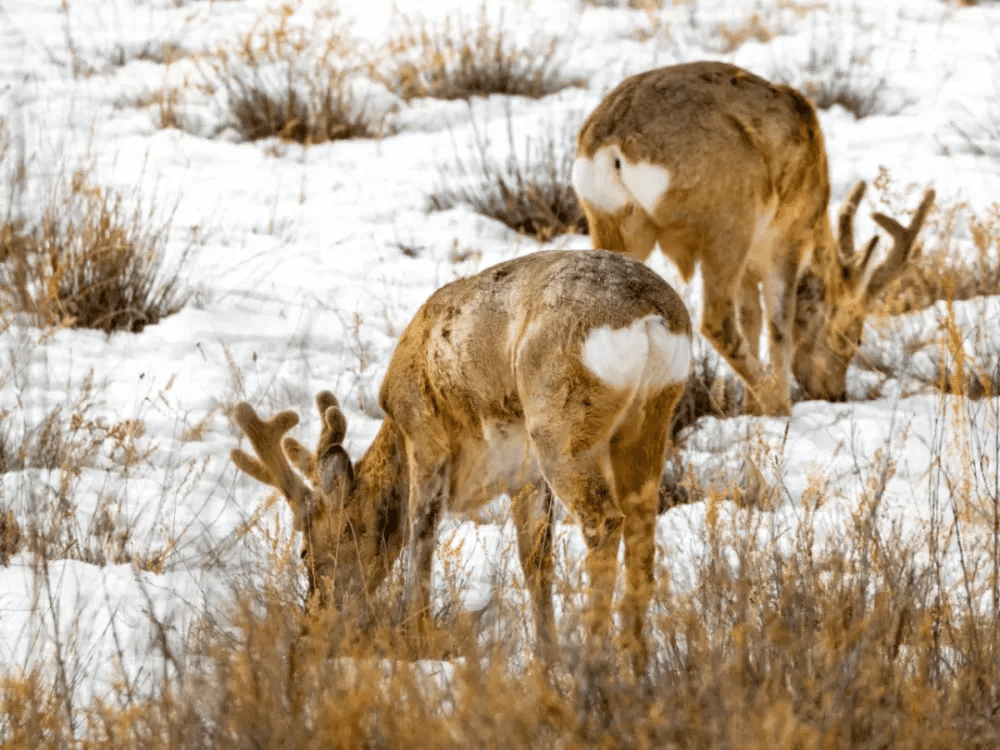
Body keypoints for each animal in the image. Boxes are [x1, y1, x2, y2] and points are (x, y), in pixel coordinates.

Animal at [229, 251, 692, 676]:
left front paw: (411, 639)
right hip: (650, 420)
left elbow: (420, 535)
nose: (312, 623)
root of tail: (650, 317)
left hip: (561, 423)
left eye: (306, 552)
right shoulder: (523, 475)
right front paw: (546, 660)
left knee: (604, 521)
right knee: (641, 531)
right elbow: (535, 562)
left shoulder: (426, 437)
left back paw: (596, 667)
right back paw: (636, 665)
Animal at [576, 60, 932, 418]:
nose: (835, 393)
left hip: (609, 223)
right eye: (853, 337)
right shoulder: (785, 237)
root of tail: (613, 140)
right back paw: (775, 403)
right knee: (716, 322)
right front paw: (777, 406)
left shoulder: (750, 263)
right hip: (727, 224)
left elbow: (752, 318)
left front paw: (750, 409)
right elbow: (779, 324)